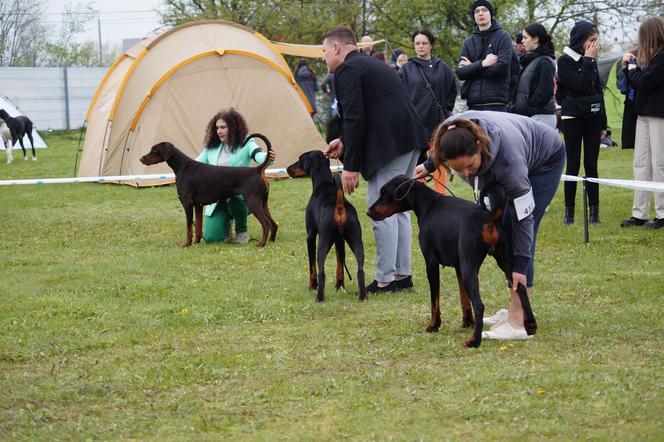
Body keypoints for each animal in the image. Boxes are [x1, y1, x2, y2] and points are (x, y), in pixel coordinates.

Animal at [140, 133, 278, 247]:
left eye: (154, 149)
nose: (141, 158)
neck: (182, 167)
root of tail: (257, 170)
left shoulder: (187, 204)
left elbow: (189, 227)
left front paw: (187, 244)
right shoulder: (198, 205)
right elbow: (198, 226)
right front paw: (196, 243)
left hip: (253, 202)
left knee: (266, 223)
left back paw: (261, 244)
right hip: (263, 202)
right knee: (274, 223)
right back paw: (271, 241)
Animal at [286, 150, 368, 302]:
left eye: (300, 159)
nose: (288, 168)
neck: (323, 183)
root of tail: (339, 206)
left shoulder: (311, 236)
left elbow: (312, 266)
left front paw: (312, 286)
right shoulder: (340, 241)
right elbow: (340, 265)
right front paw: (339, 286)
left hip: (323, 242)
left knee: (321, 271)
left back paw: (319, 297)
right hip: (356, 240)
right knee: (360, 271)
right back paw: (363, 296)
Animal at [366, 174, 536, 348]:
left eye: (385, 193)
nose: (368, 212)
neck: (426, 205)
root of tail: (488, 218)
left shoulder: (431, 263)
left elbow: (434, 300)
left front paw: (434, 325)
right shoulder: (458, 266)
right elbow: (463, 298)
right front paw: (467, 322)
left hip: (470, 269)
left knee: (479, 305)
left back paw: (474, 340)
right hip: (505, 262)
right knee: (521, 287)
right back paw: (530, 324)